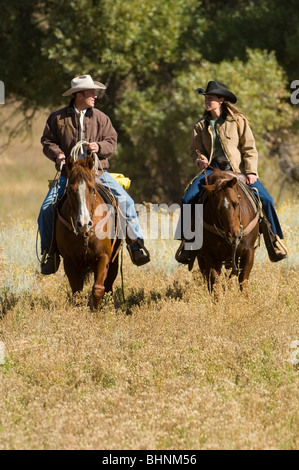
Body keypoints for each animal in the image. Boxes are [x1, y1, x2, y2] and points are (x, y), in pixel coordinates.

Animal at [55, 155, 121, 308]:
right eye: (70, 191)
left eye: (92, 190)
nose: (84, 223)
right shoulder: (69, 261)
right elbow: (77, 294)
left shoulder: (104, 256)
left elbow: (98, 289)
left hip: (114, 260)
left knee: (108, 286)